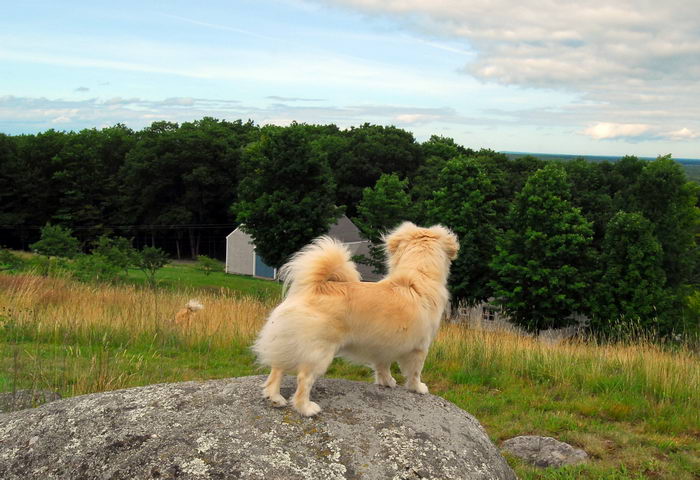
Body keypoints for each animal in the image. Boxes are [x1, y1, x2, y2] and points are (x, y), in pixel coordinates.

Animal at [252, 221, 460, 416]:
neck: (417, 277)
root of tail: (313, 288)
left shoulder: (384, 346)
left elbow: (383, 366)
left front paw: (387, 382)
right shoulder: (419, 348)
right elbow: (415, 372)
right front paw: (418, 388)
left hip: (287, 342)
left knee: (277, 369)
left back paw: (274, 398)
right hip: (319, 353)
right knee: (303, 379)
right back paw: (306, 408)